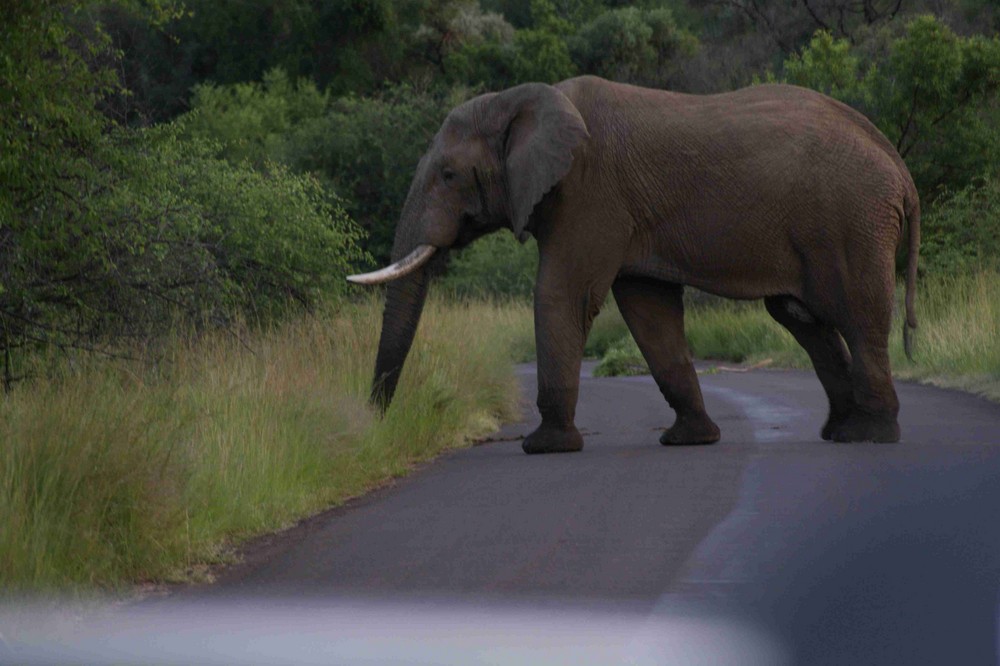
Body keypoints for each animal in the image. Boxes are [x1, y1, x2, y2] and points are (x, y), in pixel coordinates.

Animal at [352, 75, 920, 454]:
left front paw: (544, 446)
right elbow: (649, 313)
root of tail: (898, 165)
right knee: (801, 318)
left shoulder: (589, 193)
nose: (378, 424)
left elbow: (562, 295)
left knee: (858, 315)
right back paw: (839, 432)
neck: (522, 100)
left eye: (448, 175)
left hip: (852, 220)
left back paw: (871, 436)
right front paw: (690, 440)